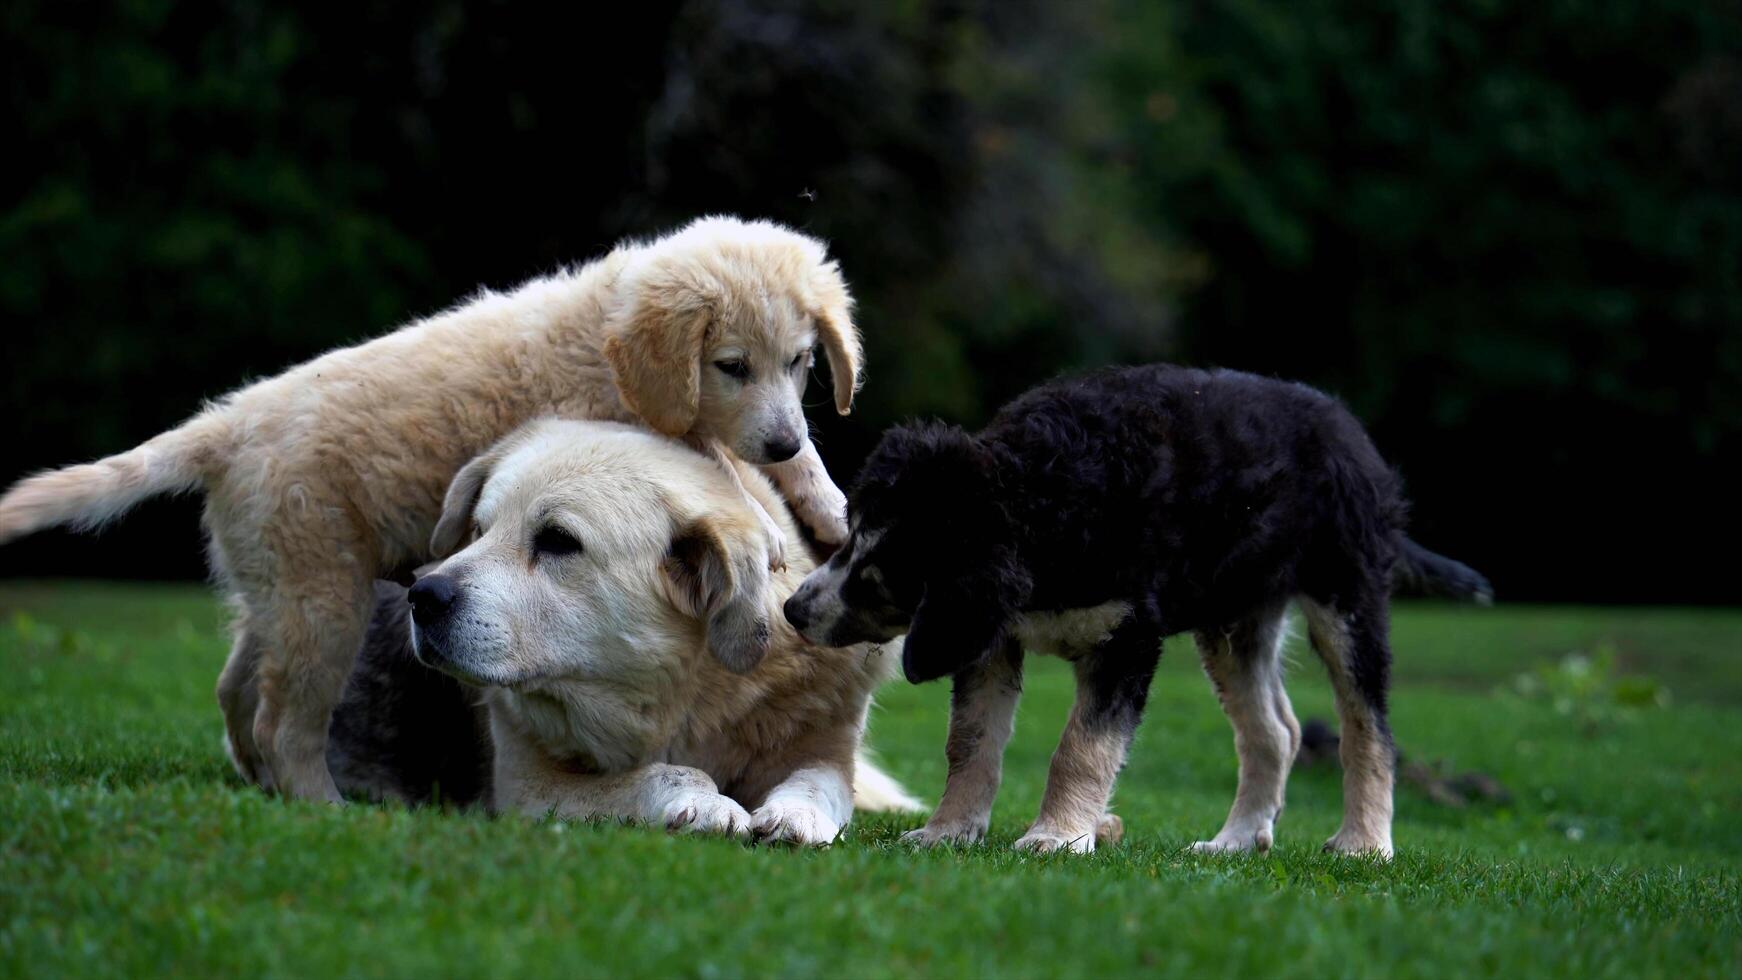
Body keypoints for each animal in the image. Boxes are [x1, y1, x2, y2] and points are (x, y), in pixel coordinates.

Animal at [787, 363, 1484, 856]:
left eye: (879, 582)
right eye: (849, 538)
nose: (794, 610)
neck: (1039, 502)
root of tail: (1352, 432)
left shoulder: (1126, 639)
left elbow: (1083, 746)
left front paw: (1057, 837)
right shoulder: (987, 638)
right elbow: (971, 742)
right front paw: (948, 831)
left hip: (1347, 601)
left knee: (1369, 729)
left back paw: (1364, 844)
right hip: (1234, 621)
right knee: (1275, 732)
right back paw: (1235, 841)